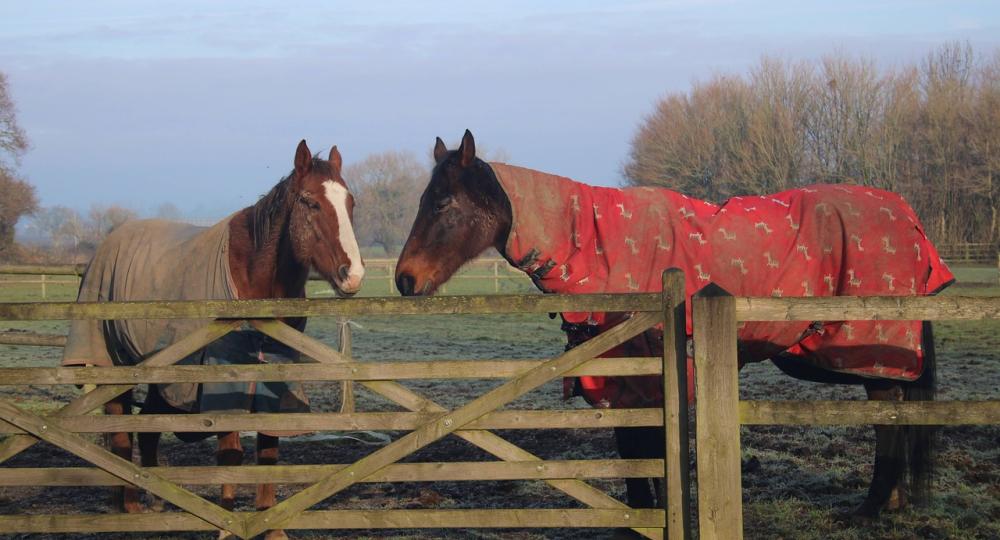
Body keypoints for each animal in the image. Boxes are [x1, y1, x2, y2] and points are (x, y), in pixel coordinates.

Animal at [61, 140, 364, 540]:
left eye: (350, 203)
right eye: (310, 202)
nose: (353, 274)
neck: (254, 275)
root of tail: (106, 245)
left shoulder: (275, 375)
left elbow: (269, 450)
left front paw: (269, 524)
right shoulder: (224, 380)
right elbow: (231, 452)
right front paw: (228, 525)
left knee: (148, 429)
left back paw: (159, 498)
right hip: (115, 368)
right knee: (121, 429)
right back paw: (129, 505)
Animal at [394, 132, 956, 524]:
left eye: (442, 203)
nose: (404, 279)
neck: (598, 245)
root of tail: (905, 217)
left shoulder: (644, 375)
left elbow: (645, 450)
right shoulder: (618, 378)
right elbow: (633, 452)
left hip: (867, 348)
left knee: (889, 417)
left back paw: (871, 507)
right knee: (894, 414)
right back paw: (891, 504)